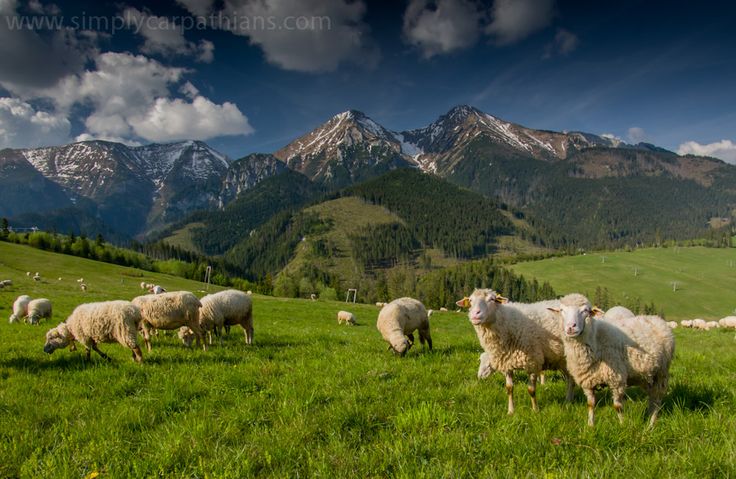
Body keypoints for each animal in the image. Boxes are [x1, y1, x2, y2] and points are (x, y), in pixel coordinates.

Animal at [548, 294, 676, 430]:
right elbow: (590, 404)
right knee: (652, 397)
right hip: (647, 376)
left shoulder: (616, 379)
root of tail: (657, 319)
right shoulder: (588, 381)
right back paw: (649, 417)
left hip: (662, 372)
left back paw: (651, 424)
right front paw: (590, 426)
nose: (571, 327)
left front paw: (623, 425)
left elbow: (618, 406)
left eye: (585, 311)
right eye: (562, 310)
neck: (596, 340)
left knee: (657, 398)